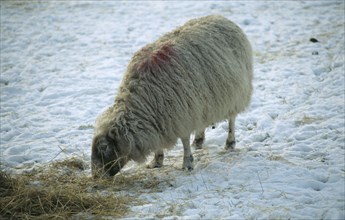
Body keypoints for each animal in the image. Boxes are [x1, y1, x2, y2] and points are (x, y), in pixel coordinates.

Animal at [91, 14, 253, 178]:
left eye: (104, 148)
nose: (96, 176)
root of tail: (220, 17)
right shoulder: (162, 118)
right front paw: (156, 161)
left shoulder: (181, 114)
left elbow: (185, 140)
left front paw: (187, 163)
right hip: (202, 101)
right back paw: (198, 140)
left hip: (236, 93)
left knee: (232, 119)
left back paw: (230, 143)